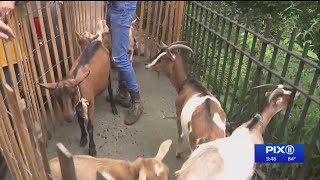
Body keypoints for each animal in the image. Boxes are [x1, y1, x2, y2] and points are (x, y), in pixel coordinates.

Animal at [37, 26, 117, 156]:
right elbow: (80, 122)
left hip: (108, 74)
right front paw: (83, 138)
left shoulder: (90, 104)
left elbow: (90, 127)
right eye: (56, 97)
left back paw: (114, 107)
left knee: (110, 89)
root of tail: (98, 43)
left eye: (73, 93)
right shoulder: (77, 106)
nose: (69, 117)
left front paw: (92, 148)